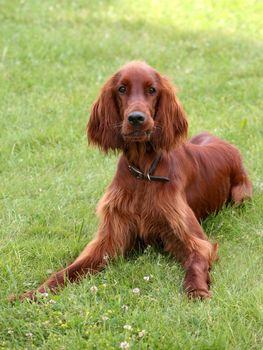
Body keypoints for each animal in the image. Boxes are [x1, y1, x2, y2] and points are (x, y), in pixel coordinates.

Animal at [17, 60, 253, 300]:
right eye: (122, 89)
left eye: (152, 90)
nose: (136, 118)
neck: (144, 172)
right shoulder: (110, 238)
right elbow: (67, 271)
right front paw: (32, 294)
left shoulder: (195, 240)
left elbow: (196, 262)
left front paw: (197, 290)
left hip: (242, 194)